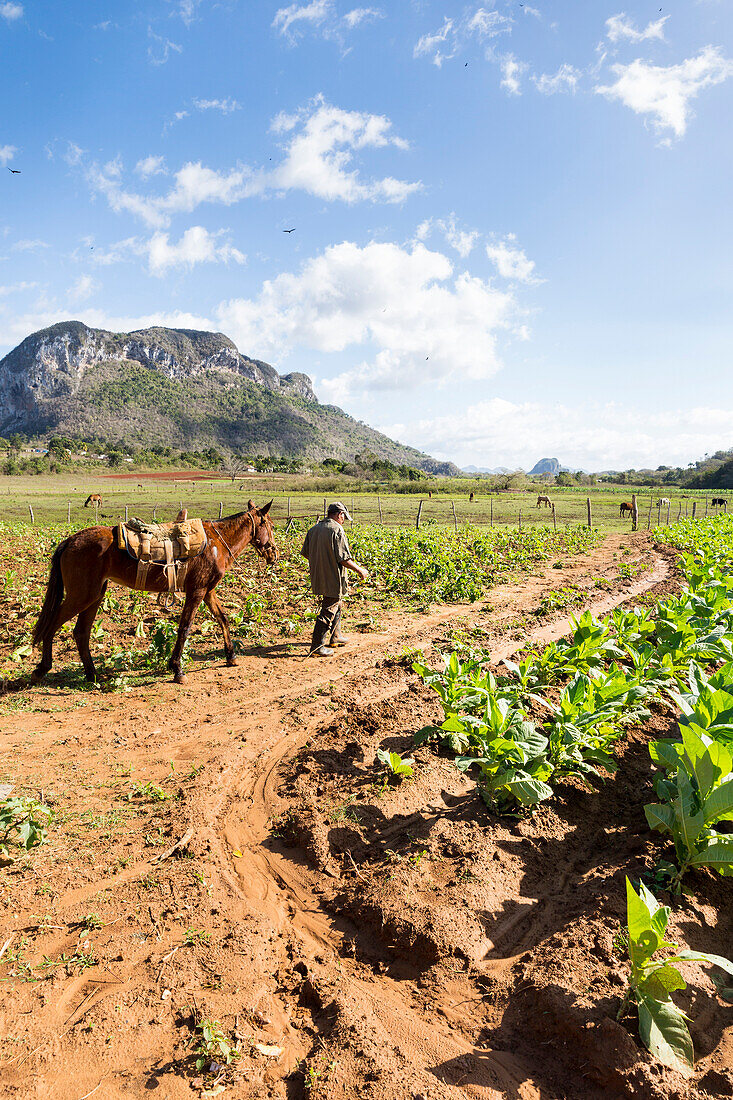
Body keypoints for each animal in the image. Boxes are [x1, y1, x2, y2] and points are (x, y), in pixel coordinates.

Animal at [30, 503, 277, 682]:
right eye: (271, 526)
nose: (274, 554)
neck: (217, 543)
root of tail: (70, 541)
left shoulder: (208, 591)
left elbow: (223, 619)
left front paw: (231, 655)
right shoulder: (196, 592)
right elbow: (185, 628)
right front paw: (177, 669)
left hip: (94, 596)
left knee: (81, 633)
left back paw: (92, 675)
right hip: (80, 596)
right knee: (52, 626)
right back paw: (43, 668)